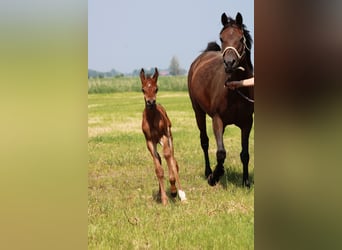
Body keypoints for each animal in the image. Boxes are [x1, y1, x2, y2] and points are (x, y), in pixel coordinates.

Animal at [140, 67, 187, 204]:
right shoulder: (150, 141)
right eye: (143, 89)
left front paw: (174, 190)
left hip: (169, 136)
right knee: (162, 159)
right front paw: (164, 200)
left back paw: (179, 193)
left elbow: (168, 156)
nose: (150, 102)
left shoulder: (164, 137)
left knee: (172, 159)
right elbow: (159, 169)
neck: (152, 120)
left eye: (156, 88)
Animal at [187, 12, 254, 187]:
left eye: (241, 38)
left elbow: (245, 154)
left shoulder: (247, 123)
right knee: (204, 141)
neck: (235, 89)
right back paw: (209, 172)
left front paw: (246, 181)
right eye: (221, 38)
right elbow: (221, 152)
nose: (229, 63)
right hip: (198, 112)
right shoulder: (217, 119)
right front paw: (215, 176)